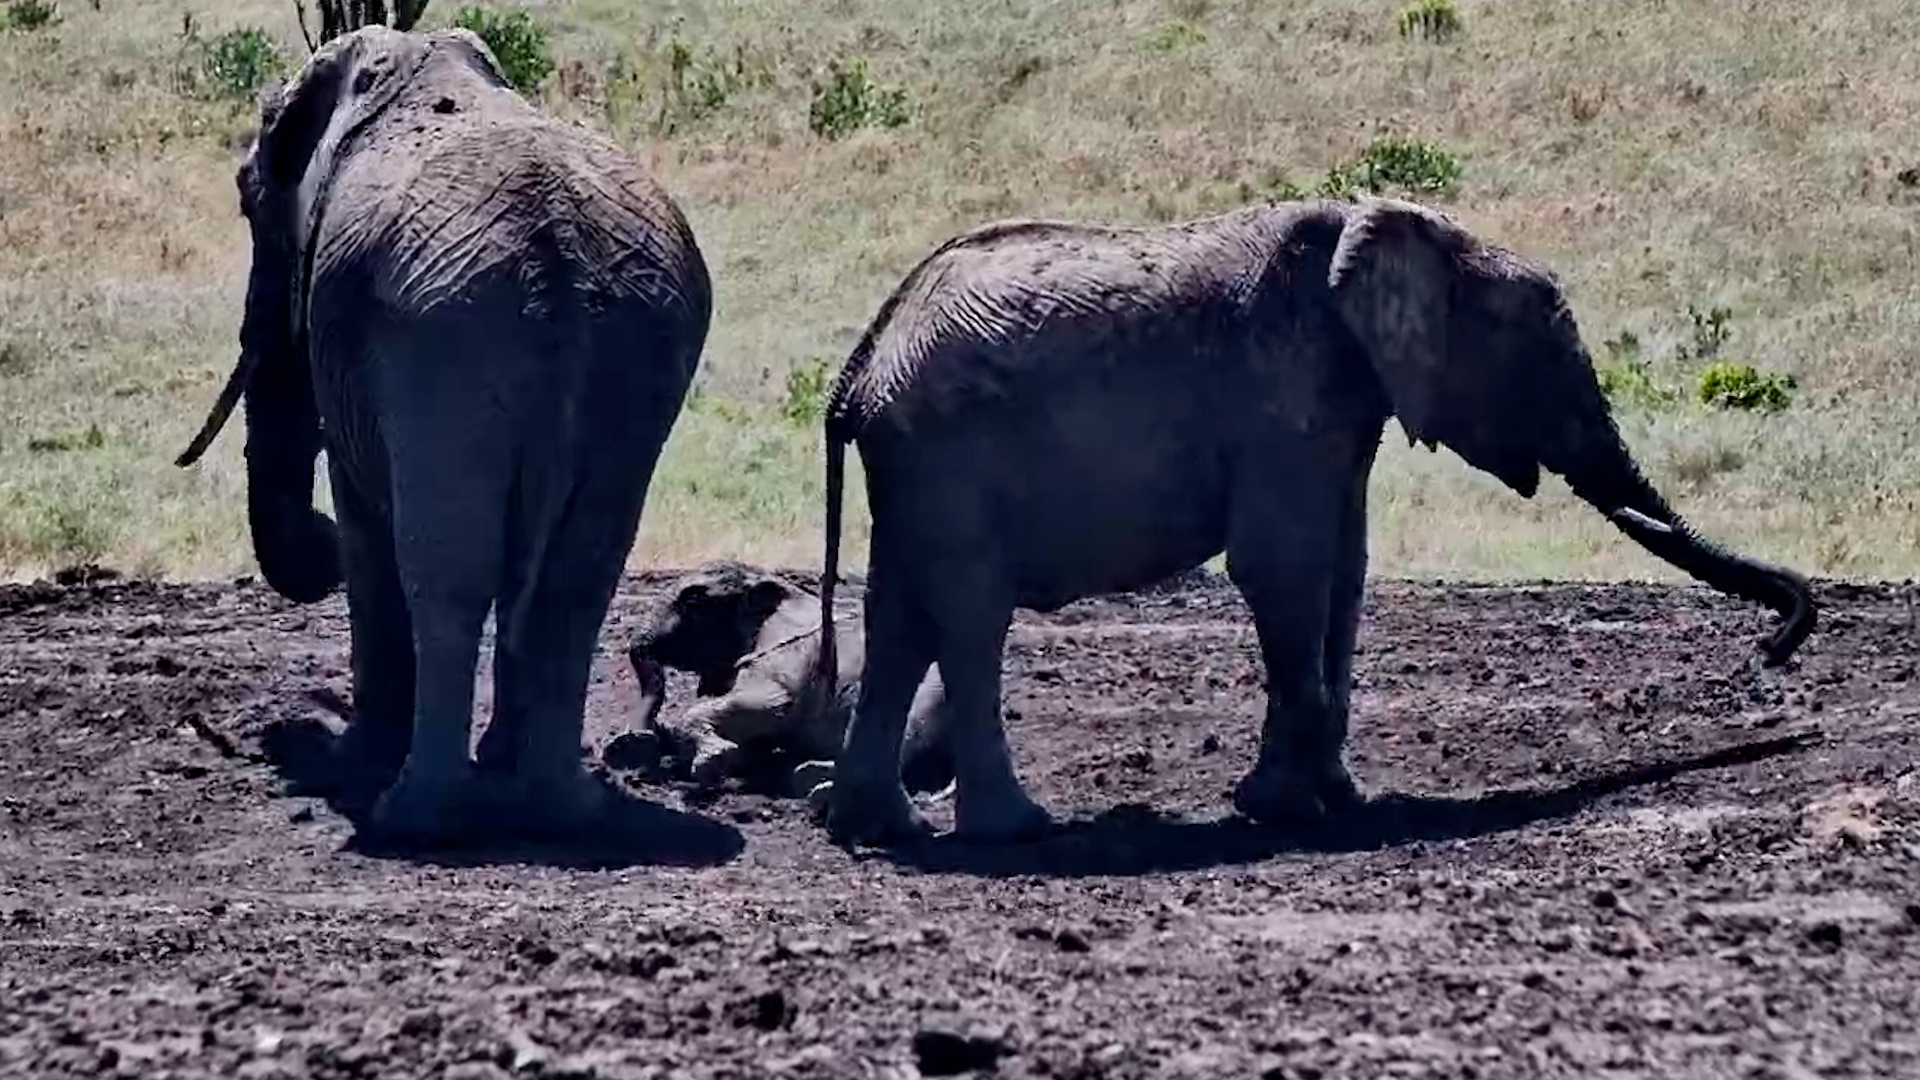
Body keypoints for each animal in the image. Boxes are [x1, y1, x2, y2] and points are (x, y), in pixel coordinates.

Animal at [173, 26, 712, 844]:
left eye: (247, 197)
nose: (317, 544)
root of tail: (563, 263)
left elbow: (368, 529)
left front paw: (355, 758)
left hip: (442, 339)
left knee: (445, 575)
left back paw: (413, 812)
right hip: (637, 350)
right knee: (574, 581)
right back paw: (561, 805)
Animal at [809, 195, 1816, 846]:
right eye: (1541, 340)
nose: (1775, 649)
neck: (1390, 231)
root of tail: (862, 361)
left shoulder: (1341, 407)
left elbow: (1344, 566)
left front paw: (1337, 797)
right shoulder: (1282, 390)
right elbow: (1282, 566)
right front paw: (1283, 810)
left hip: (916, 471)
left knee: (899, 619)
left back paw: (879, 826)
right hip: (948, 455)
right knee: (970, 620)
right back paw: (1015, 831)